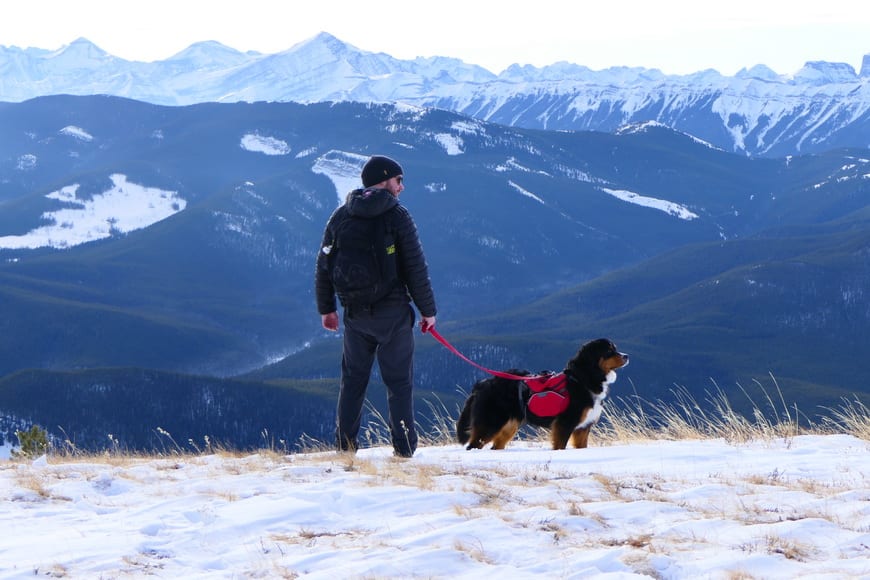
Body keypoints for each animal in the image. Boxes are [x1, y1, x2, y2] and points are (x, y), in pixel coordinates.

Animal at [456, 338, 628, 450]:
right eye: (609, 351)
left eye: (615, 348)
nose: (626, 356)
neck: (582, 379)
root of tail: (482, 383)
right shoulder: (564, 424)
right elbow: (560, 446)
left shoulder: (583, 427)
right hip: (491, 423)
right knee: (473, 445)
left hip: (509, 427)